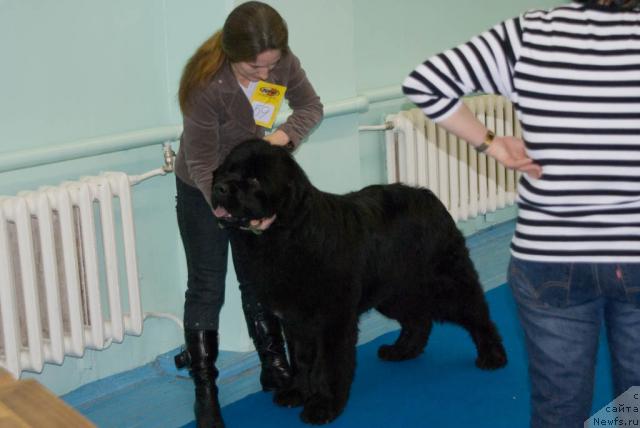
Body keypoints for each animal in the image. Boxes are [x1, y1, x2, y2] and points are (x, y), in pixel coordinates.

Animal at [212, 140, 508, 424]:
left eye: (254, 180)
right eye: (228, 169)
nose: (219, 187)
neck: (287, 235)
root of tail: (429, 196)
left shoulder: (333, 318)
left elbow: (327, 364)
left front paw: (323, 406)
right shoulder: (294, 320)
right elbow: (300, 359)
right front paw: (297, 391)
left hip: (445, 283)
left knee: (477, 315)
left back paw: (493, 356)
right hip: (394, 293)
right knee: (418, 320)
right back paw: (401, 350)